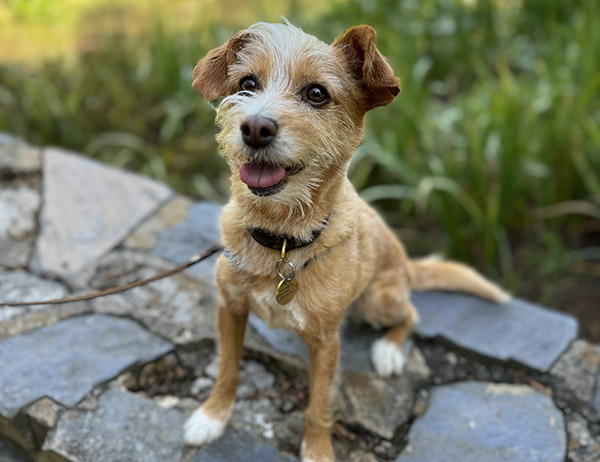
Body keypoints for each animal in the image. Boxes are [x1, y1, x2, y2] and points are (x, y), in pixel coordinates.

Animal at [184, 22, 510, 462]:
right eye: (247, 83)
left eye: (317, 93)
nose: (254, 128)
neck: (281, 242)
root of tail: (406, 265)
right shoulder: (230, 308)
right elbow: (227, 370)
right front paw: (213, 416)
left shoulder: (326, 345)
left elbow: (319, 405)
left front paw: (318, 450)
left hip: (379, 300)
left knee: (411, 315)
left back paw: (389, 351)